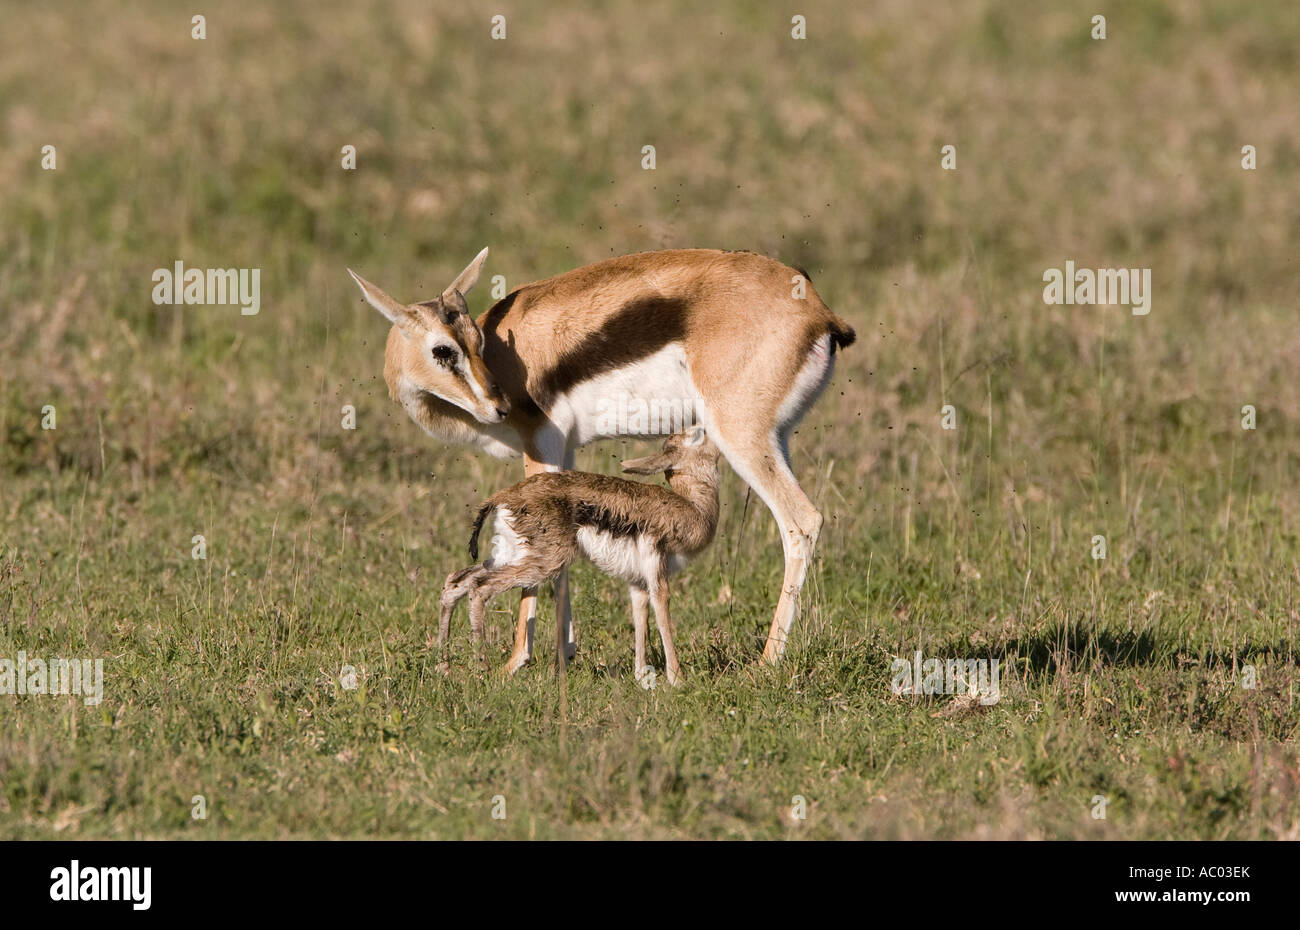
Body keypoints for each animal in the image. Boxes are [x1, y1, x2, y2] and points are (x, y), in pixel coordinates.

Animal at [438, 427, 721, 685]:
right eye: (697, 434)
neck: (693, 507)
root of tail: (504, 496)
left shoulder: (637, 582)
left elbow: (640, 617)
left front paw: (642, 676)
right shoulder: (657, 575)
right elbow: (662, 615)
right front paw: (678, 679)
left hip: (508, 554)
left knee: (456, 581)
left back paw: (444, 668)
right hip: (546, 564)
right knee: (479, 587)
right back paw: (482, 668)